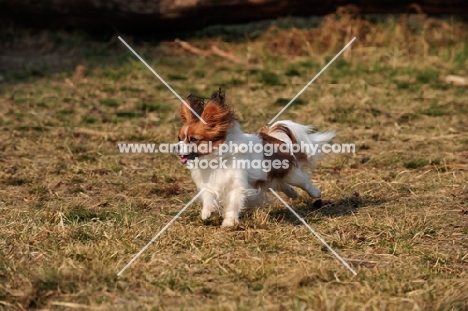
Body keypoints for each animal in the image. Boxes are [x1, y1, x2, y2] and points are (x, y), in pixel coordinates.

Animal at [175, 89, 332, 228]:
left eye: (193, 139)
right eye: (179, 139)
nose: (175, 147)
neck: (215, 158)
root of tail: (272, 137)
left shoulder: (237, 186)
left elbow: (233, 204)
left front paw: (228, 223)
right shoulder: (209, 182)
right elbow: (208, 196)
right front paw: (207, 212)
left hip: (290, 173)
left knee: (303, 181)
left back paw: (315, 192)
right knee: (281, 184)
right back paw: (292, 193)